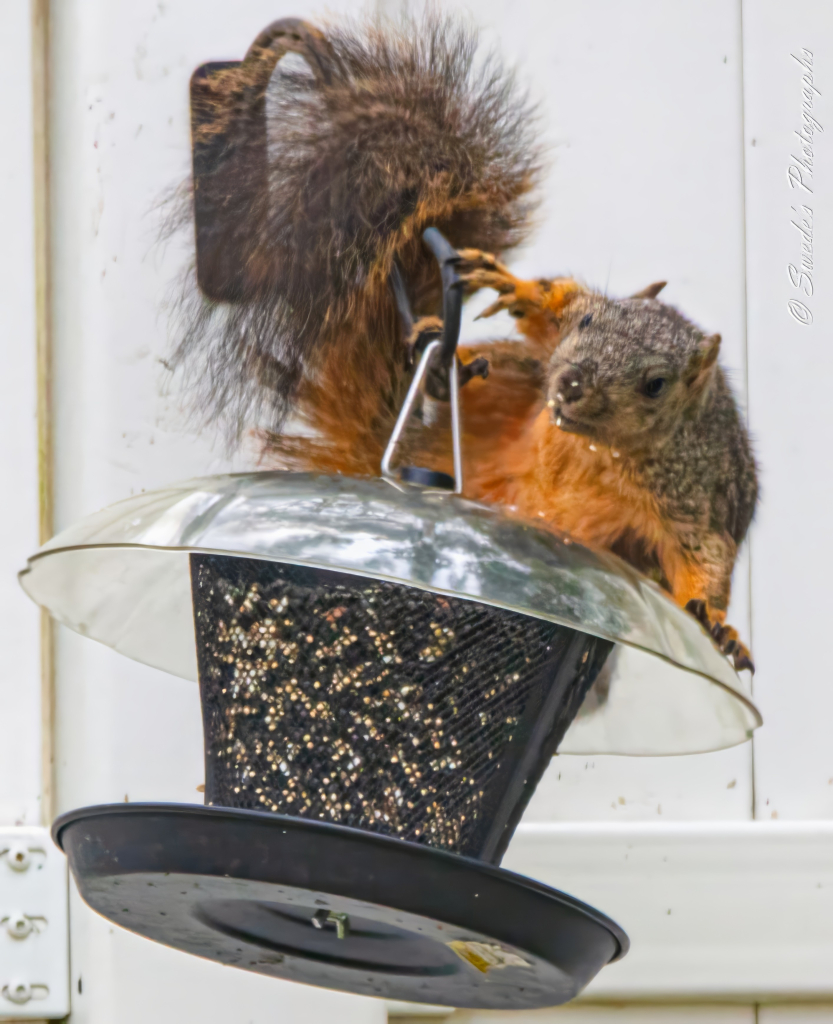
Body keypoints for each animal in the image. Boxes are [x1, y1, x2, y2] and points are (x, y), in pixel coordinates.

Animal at [175, 16, 762, 675]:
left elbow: (702, 563)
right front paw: (517, 288)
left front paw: (720, 626)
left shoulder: (697, 500)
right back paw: (438, 363)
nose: (571, 384)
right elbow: (549, 302)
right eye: (588, 322)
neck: (597, 451)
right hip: (510, 379)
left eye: (655, 385)